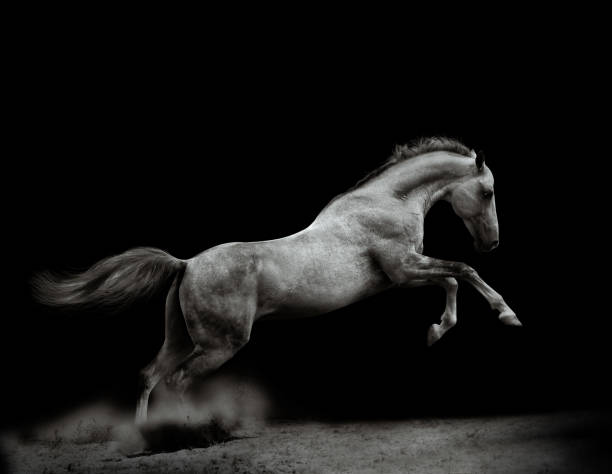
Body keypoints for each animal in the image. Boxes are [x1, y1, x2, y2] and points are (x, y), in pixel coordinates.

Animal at [32, 135, 520, 424]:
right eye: (488, 191)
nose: (492, 243)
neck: (385, 203)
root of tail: (186, 264)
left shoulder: (402, 275)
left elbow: (453, 280)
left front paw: (436, 332)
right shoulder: (403, 268)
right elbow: (463, 272)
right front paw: (506, 315)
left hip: (180, 338)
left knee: (150, 375)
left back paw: (146, 438)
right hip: (220, 344)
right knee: (177, 381)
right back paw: (192, 433)